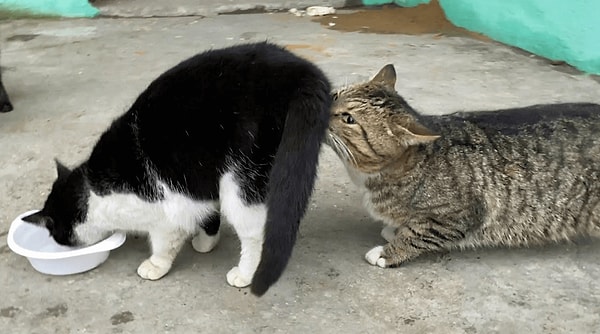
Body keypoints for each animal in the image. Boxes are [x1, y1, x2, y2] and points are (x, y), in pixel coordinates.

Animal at [22, 41, 332, 294]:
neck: (92, 194)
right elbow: (209, 215)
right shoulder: (196, 186)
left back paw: (244, 274)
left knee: (254, 233)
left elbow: (165, 241)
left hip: (240, 180)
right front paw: (207, 242)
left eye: (56, 234)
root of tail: (300, 70)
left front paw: (155, 265)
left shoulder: (166, 208)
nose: (58, 243)